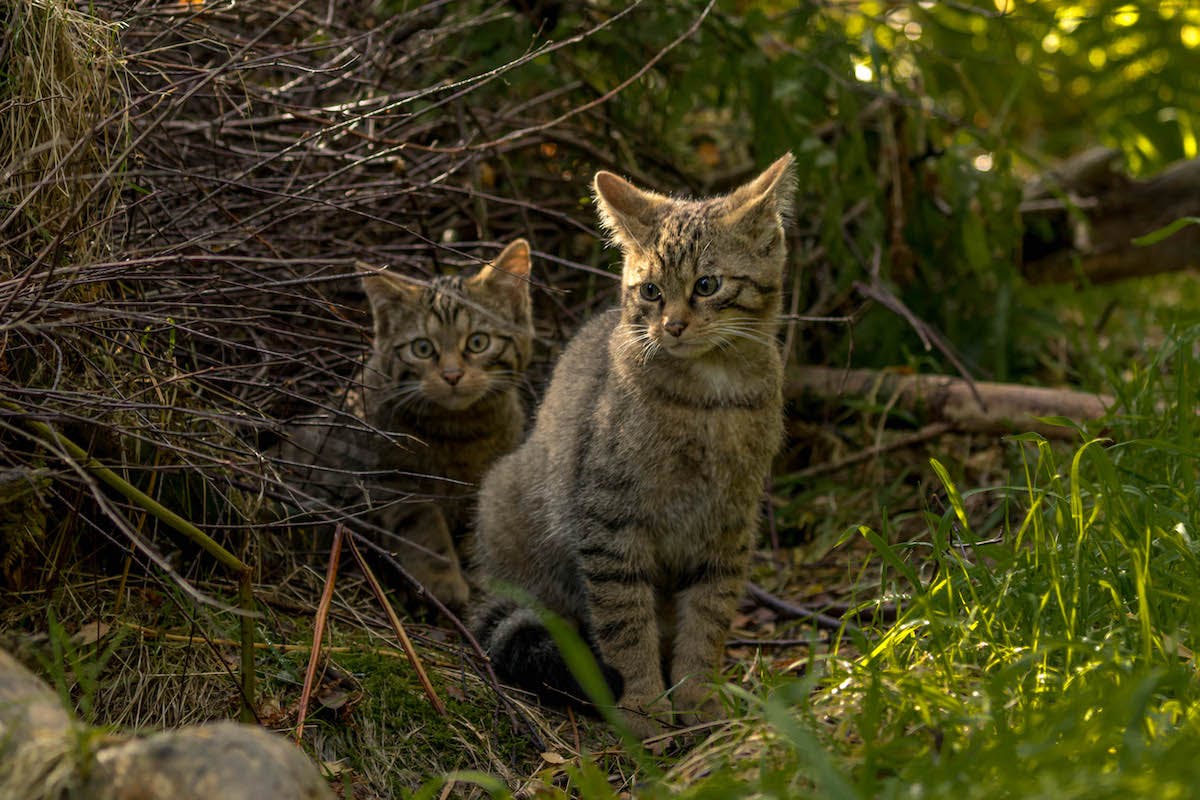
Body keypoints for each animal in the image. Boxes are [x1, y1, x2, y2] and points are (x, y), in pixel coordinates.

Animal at [278, 241, 532, 609]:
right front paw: (442, 583)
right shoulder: (391, 480)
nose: (452, 375)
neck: (459, 433)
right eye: (422, 348)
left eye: (478, 342)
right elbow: (422, 528)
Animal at [470, 155, 796, 738]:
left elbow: (707, 620)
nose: (672, 325)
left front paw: (698, 700)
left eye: (707, 284)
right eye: (649, 291)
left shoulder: (728, 523)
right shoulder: (610, 521)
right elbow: (625, 623)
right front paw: (645, 707)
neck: (710, 399)